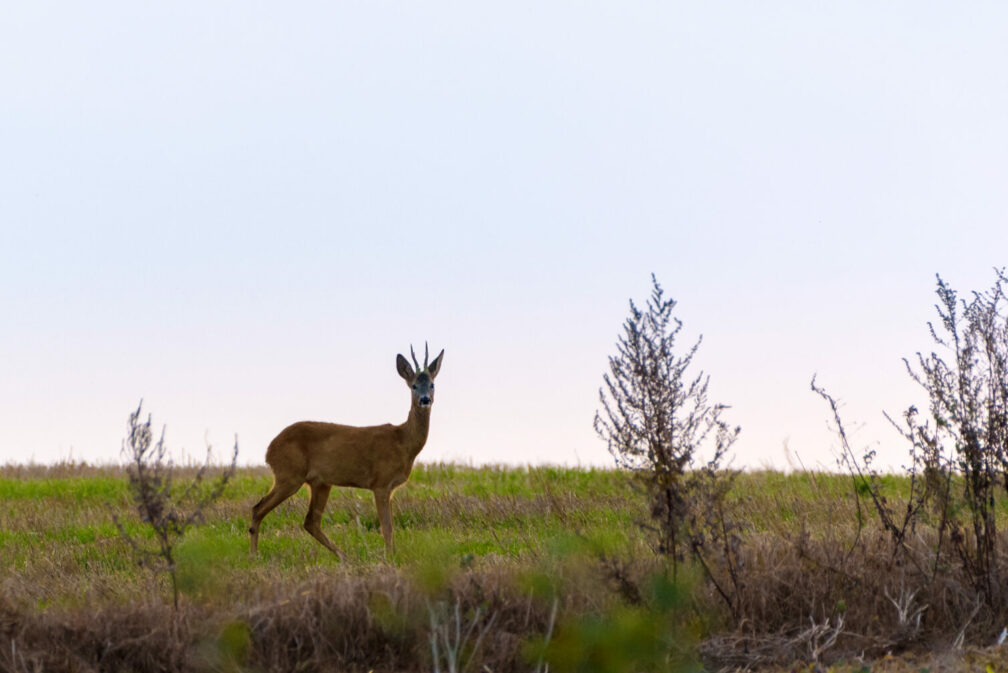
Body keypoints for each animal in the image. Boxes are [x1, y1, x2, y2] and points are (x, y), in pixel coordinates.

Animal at [249, 344, 444, 557]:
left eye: (432, 384)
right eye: (414, 386)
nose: (425, 400)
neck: (403, 441)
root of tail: (270, 450)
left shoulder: (388, 487)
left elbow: (389, 526)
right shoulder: (381, 483)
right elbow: (387, 527)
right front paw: (390, 557)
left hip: (320, 482)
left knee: (310, 521)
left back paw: (343, 556)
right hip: (289, 475)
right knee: (258, 508)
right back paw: (254, 556)